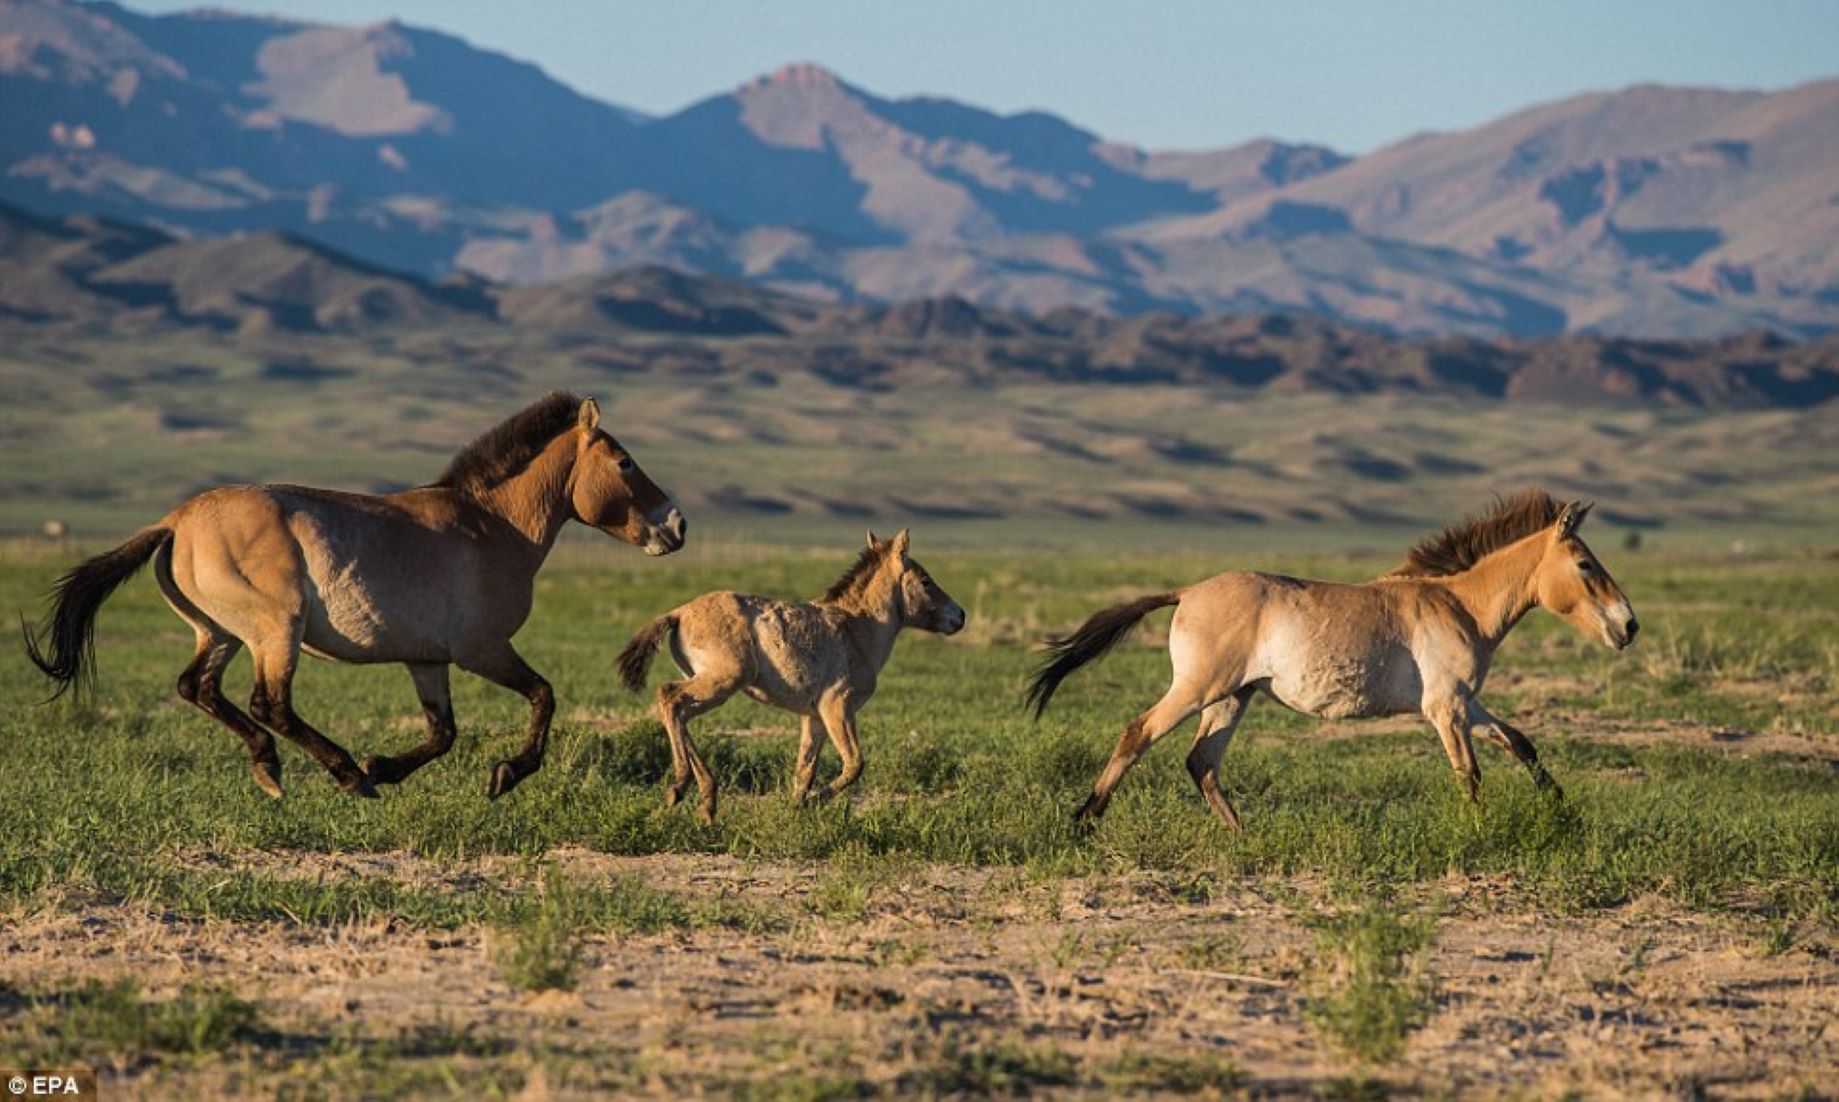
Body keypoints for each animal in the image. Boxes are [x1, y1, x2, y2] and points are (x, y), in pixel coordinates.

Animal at [25, 393, 687, 802]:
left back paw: (275, 769)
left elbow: (443, 732)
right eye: (626, 463)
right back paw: (340, 772)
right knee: (269, 704)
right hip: (276, 631)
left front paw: (386, 767)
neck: (492, 525)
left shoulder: (427, 659)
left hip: (221, 632)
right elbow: (543, 696)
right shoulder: (482, 649)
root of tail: (174, 522)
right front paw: (504, 774)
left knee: (200, 688)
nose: (676, 526)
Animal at [614, 529, 963, 824]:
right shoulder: (838, 707)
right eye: (926, 581)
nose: (959, 616)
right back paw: (678, 788)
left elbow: (804, 771)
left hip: (708, 684)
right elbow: (854, 764)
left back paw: (707, 805)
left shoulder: (814, 717)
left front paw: (795, 811)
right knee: (669, 697)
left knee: (679, 715)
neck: (857, 628)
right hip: (721, 682)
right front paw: (811, 804)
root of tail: (678, 613)